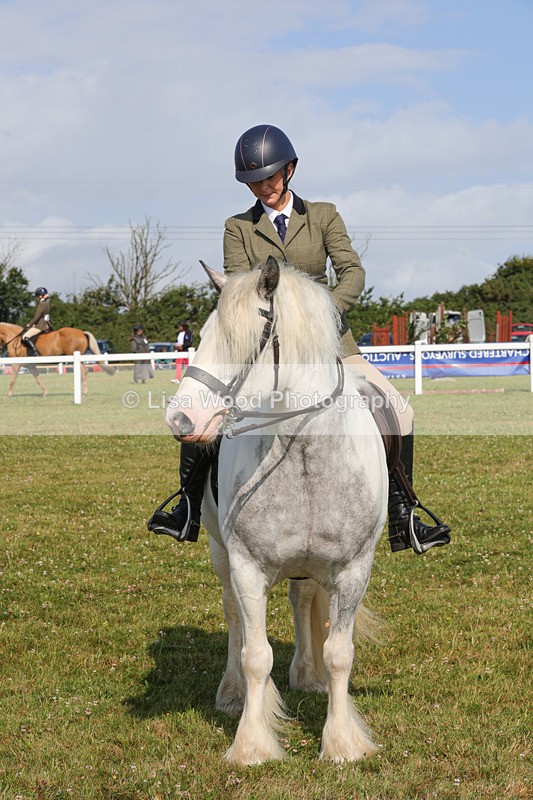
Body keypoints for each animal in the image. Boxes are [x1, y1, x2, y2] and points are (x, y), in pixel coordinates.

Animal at [165, 256, 389, 765]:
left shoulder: (354, 569)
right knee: (232, 615)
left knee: (302, 599)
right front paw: (251, 743)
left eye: (248, 340)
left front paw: (342, 743)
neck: (302, 451)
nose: (180, 419)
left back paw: (307, 676)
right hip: (219, 552)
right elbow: (256, 655)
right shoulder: (247, 566)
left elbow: (339, 653)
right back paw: (231, 694)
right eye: (201, 334)